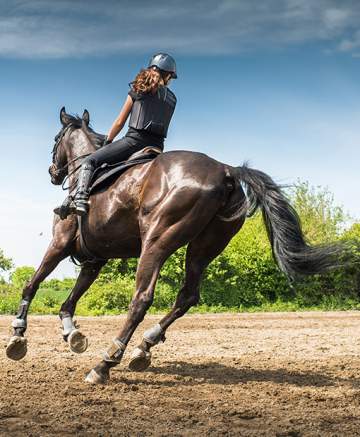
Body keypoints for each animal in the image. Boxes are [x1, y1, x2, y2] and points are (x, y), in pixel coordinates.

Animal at [5, 107, 348, 384]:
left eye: (55, 139)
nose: (53, 173)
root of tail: (226, 170)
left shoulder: (60, 244)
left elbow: (32, 284)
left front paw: (18, 336)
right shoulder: (95, 259)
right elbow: (69, 301)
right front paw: (71, 333)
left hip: (157, 242)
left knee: (142, 299)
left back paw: (105, 363)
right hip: (203, 248)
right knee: (187, 296)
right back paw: (143, 348)